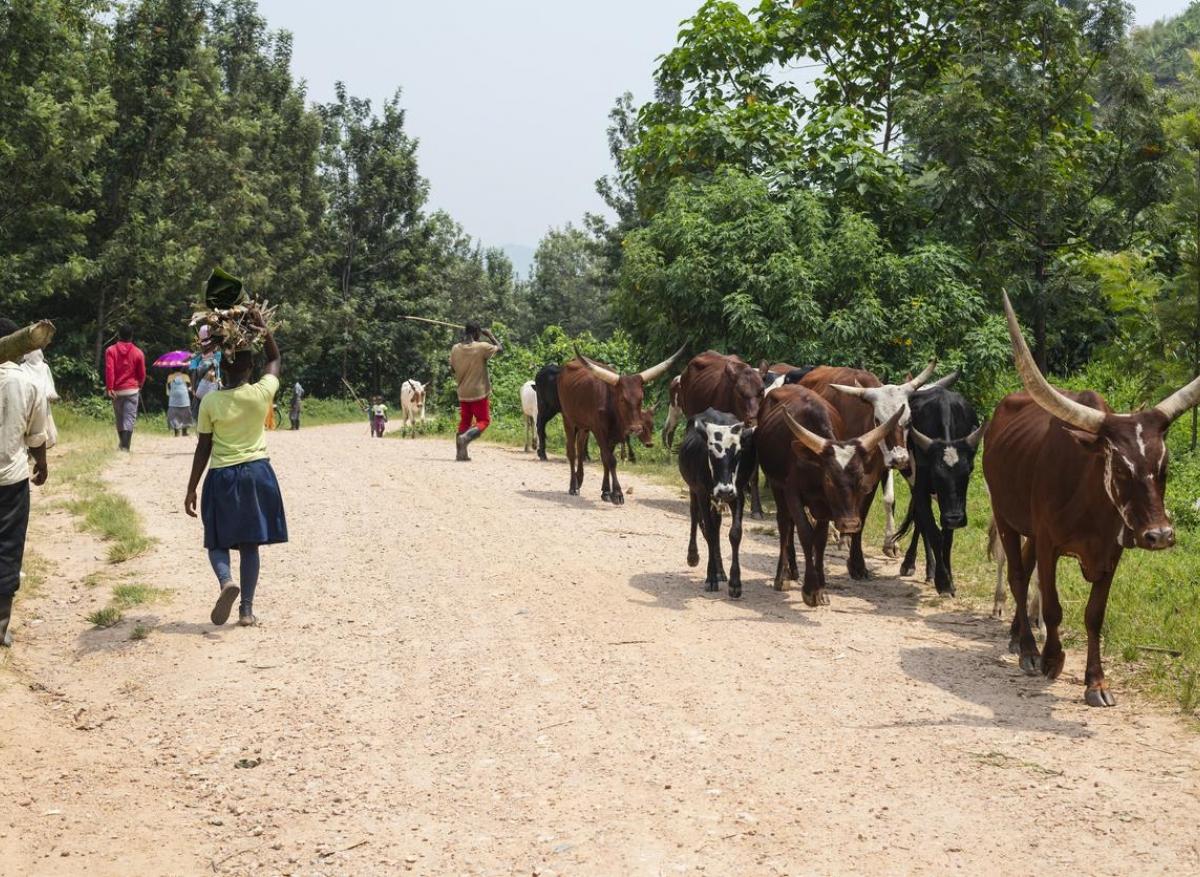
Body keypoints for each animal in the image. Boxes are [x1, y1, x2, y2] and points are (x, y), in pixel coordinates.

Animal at [554, 345, 681, 503]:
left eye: (641, 398)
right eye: (622, 399)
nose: (636, 428)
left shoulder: (614, 435)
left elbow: (606, 460)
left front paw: (606, 491)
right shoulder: (600, 431)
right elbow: (610, 460)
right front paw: (618, 493)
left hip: (584, 425)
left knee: (580, 445)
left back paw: (580, 479)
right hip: (568, 419)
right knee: (571, 451)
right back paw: (573, 486)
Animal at [681, 407, 753, 599]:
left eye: (739, 453)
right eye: (710, 452)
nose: (724, 490)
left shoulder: (738, 493)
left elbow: (734, 533)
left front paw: (735, 582)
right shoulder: (702, 493)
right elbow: (711, 533)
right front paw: (711, 577)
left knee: (715, 523)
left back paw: (721, 571)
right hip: (694, 490)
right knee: (695, 516)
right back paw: (693, 556)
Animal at [758, 388, 902, 607]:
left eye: (861, 477)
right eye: (829, 478)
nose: (850, 525)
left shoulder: (825, 507)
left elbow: (820, 540)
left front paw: (821, 588)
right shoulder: (792, 493)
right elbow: (805, 534)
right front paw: (810, 589)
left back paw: (793, 571)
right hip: (776, 485)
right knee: (784, 524)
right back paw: (783, 575)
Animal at [892, 386, 984, 597]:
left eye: (968, 471)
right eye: (936, 474)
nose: (955, 519)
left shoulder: (953, 506)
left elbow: (947, 538)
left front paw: (950, 578)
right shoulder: (920, 488)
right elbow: (934, 533)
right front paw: (943, 582)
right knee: (921, 521)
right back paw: (914, 565)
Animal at [979, 292, 1195, 705]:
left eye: (1163, 466)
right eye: (1121, 468)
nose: (1159, 536)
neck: (1091, 509)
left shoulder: (1113, 550)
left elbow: (1094, 614)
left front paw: (1096, 682)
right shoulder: (1049, 542)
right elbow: (1051, 606)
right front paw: (1051, 659)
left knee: (1023, 571)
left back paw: (1016, 638)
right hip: (1005, 515)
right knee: (1017, 574)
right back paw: (1028, 649)